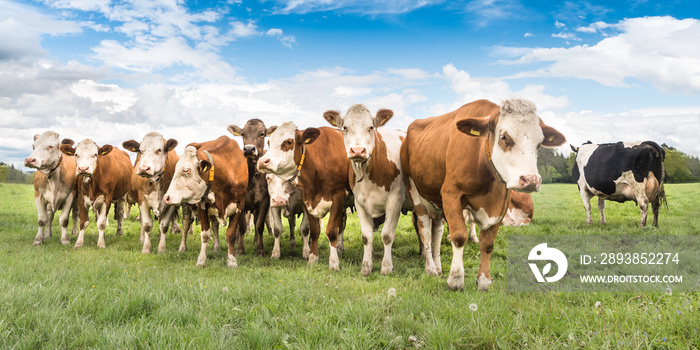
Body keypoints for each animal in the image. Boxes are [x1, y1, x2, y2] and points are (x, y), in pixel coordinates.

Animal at [164, 137, 249, 268]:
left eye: (186, 170)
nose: (167, 197)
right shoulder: (202, 205)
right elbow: (205, 235)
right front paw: (201, 260)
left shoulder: (239, 206)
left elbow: (230, 235)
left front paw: (232, 261)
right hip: (186, 206)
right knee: (186, 224)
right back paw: (182, 247)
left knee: (214, 225)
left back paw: (216, 247)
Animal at [227, 119, 276, 256]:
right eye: (243, 133)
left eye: (262, 133)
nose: (249, 149)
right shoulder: (241, 202)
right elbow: (242, 226)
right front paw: (240, 249)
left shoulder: (264, 201)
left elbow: (259, 225)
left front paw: (260, 249)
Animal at [258, 121, 350, 270]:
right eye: (269, 142)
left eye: (289, 142)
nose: (262, 161)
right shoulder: (298, 202)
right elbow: (283, 229)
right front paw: (276, 253)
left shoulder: (336, 198)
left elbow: (319, 230)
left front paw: (330, 261)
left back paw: (340, 247)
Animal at [322, 105, 410, 274]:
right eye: (345, 127)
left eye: (371, 127)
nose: (357, 150)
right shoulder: (360, 202)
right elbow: (366, 236)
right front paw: (366, 267)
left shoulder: (395, 201)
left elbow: (387, 235)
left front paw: (386, 267)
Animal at [402, 98, 568, 290]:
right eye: (504, 137)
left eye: (539, 143)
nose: (531, 180)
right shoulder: (451, 194)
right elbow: (459, 237)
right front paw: (456, 280)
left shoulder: (501, 204)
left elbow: (487, 244)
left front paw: (484, 280)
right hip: (416, 193)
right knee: (425, 229)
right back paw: (430, 268)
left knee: (436, 231)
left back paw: (437, 266)